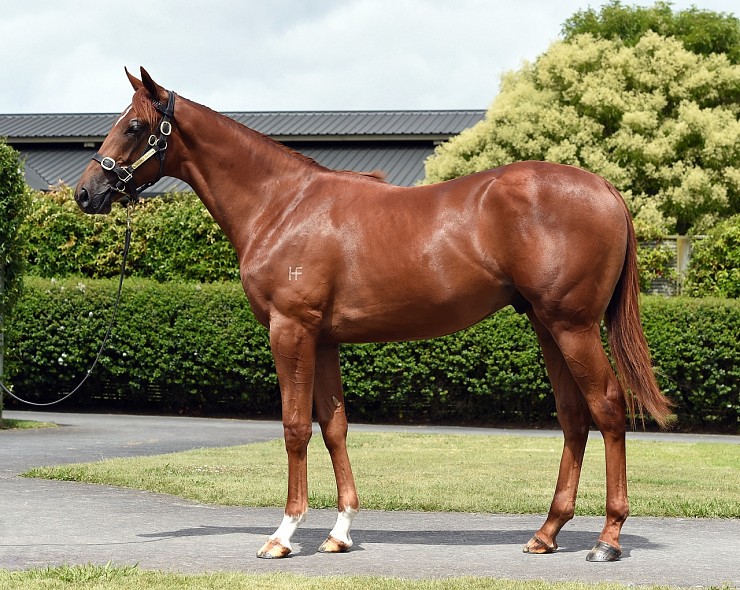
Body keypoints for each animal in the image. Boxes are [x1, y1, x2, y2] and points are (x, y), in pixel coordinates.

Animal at [73, 68, 672, 564]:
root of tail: (606, 188)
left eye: (133, 126)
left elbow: (295, 427)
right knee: (574, 417)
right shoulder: (323, 340)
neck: (280, 205)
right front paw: (340, 532)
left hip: (572, 326)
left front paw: (283, 535)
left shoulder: (290, 331)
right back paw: (546, 533)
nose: (85, 193)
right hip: (547, 326)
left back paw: (607, 539)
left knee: (607, 407)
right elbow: (334, 427)